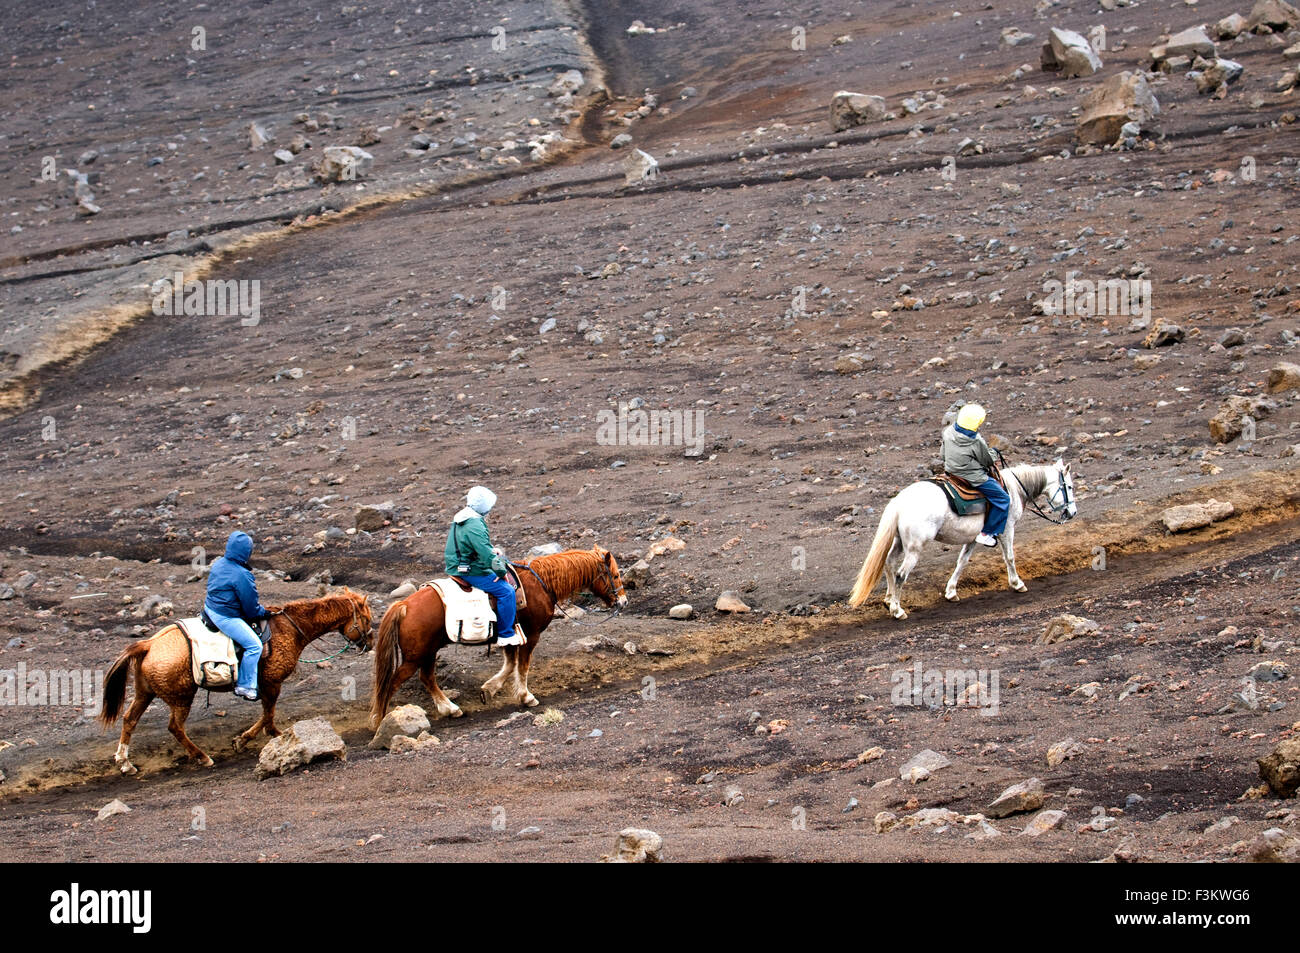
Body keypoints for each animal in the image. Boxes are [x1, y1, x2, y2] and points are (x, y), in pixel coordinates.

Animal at [94, 587, 371, 774]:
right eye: (366, 618)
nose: (368, 643)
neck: (289, 628)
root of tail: (148, 644)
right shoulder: (272, 683)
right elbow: (269, 715)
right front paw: (268, 738)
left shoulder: (268, 685)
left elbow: (267, 714)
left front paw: (255, 738)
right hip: (182, 696)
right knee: (175, 727)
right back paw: (202, 757)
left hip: (145, 692)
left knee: (129, 720)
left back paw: (125, 763)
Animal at [369, 546, 626, 722]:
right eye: (614, 575)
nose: (623, 601)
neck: (541, 583)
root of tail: (403, 605)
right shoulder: (531, 635)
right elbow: (522, 666)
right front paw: (526, 697)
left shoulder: (509, 636)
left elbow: (510, 665)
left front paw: (488, 689)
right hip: (417, 656)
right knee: (392, 684)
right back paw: (381, 721)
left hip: (428, 653)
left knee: (427, 679)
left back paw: (450, 709)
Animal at [842, 460, 1076, 621]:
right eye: (1070, 487)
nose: (1072, 513)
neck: (1013, 489)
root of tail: (898, 503)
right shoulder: (1007, 529)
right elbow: (1009, 557)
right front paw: (1017, 583)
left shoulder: (973, 538)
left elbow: (962, 562)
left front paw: (951, 592)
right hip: (914, 549)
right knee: (900, 575)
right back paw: (898, 610)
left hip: (900, 543)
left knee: (889, 565)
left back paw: (889, 600)